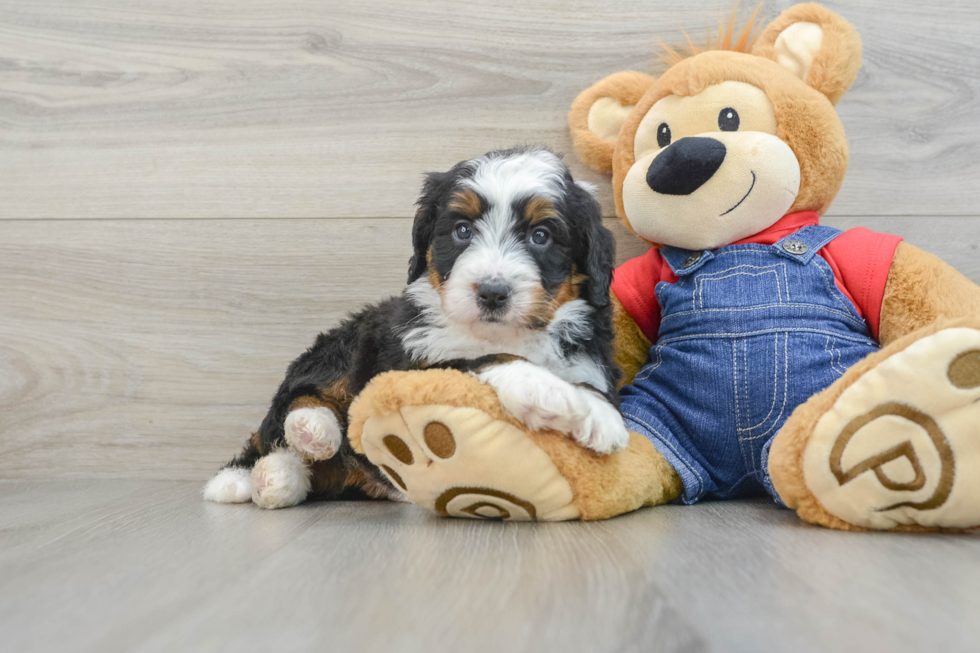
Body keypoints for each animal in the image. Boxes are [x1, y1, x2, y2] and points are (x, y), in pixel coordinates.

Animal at [205, 148, 628, 510]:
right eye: (462, 231)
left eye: (540, 236)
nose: (492, 292)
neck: (505, 334)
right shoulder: (409, 365)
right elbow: (479, 359)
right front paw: (548, 391)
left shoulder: (590, 361)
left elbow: (590, 386)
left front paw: (597, 412)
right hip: (347, 342)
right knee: (284, 411)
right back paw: (294, 442)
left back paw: (282, 475)